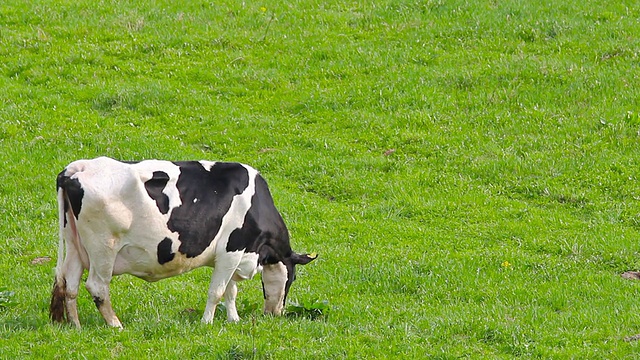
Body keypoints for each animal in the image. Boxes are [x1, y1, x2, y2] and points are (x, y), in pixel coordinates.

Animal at [49, 156, 316, 328]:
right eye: (292, 278)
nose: (276, 313)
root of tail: (77, 168)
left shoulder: (230, 255)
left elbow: (231, 290)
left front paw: (234, 319)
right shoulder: (232, 249)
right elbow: (217, 291)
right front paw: (207, 323)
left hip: (75, 245)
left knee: (69, 284)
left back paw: (76, 326)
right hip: (103, 247)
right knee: (97, 286)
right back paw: (116, 325)